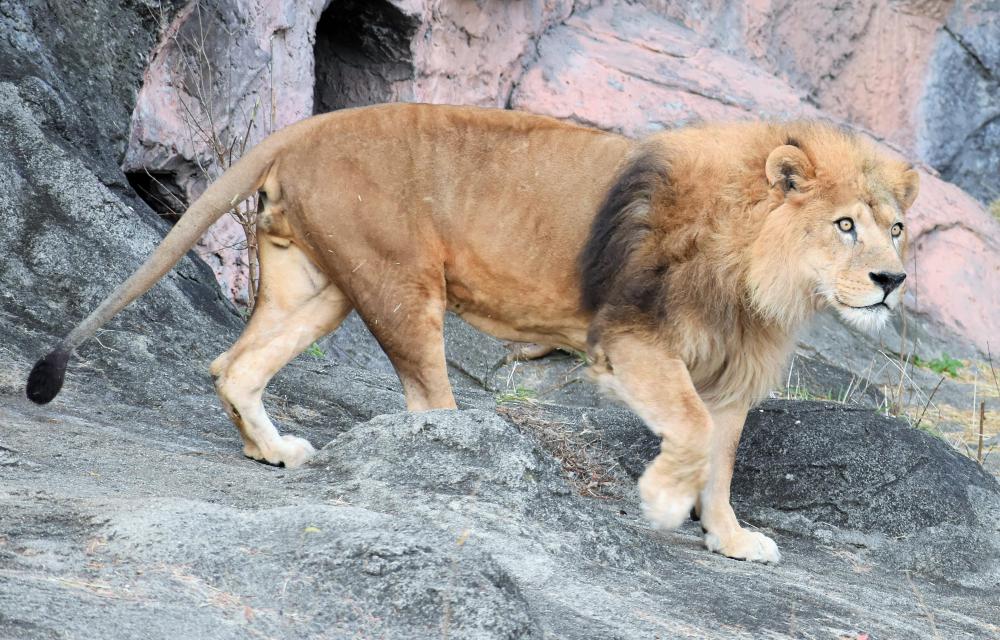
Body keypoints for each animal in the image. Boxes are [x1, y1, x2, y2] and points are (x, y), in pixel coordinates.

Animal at [23, 102, 916, 564]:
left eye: (897, 229)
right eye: (844, 225)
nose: (892, 281)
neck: (761, 277)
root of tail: (309, 123)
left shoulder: (733, 372)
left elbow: (722, 459)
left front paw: (730, 539)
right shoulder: (632, 337)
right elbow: (692, 433)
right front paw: (662, 503)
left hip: (319, 288)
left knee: (233, 364)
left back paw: (275, 450)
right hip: (401, 283)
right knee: (428, 402)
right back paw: (468, 465)